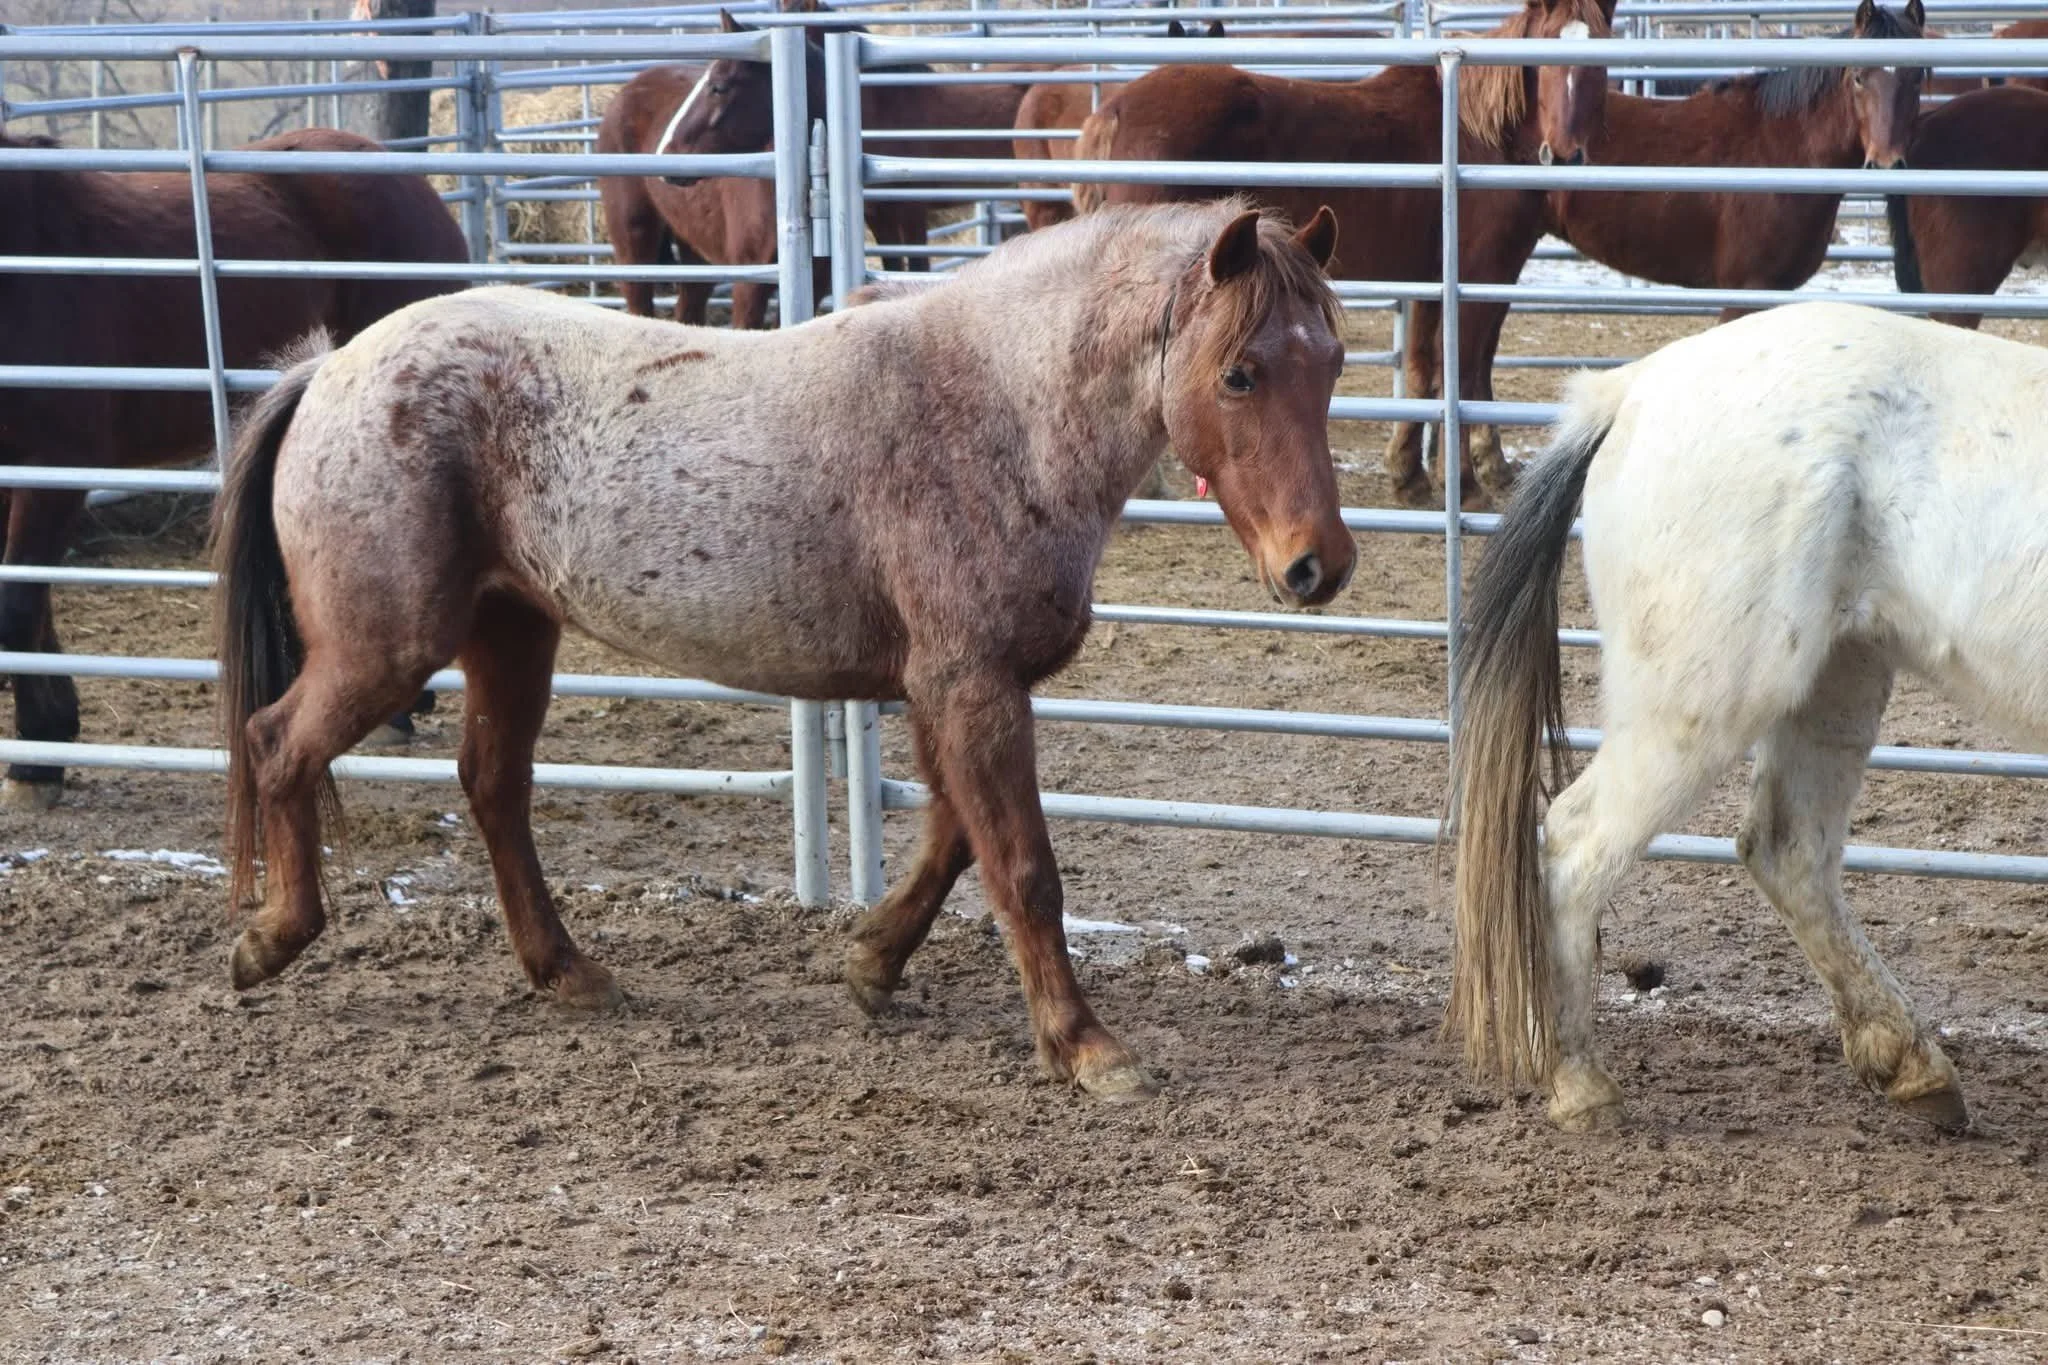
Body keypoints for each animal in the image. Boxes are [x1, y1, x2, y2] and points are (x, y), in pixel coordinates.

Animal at [211, 200, 1353, 1099]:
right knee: (278, 745)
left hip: (510, 630)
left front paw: (872, 965)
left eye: (1333, 360)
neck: (995, 407)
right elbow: (1021, 866)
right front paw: (1085, 1047)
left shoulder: (946, 688)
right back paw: (269, 941)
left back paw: (568, 971)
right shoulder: (971, 685)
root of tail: (331, 369)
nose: (1319, 565)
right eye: (1240, 374)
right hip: (385, 648)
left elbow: (953, 842)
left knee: (492, 785)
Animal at [1069, 0, 1611, 509]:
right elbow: (1464, 370)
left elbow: (1424, 373)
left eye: (1600, 56)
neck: (1476, 135)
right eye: (1545, 53)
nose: (1565, 157)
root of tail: (1113, 111)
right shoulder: (1483, 275)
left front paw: (1411, 475)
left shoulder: (1432, 282)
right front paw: (1468, 484)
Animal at [1444, 300, 2048, 1134]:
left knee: (1789, 851)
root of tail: (1631, 389)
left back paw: (1910, 1064)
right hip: (1704, 699)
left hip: (1839, 675)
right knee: (1574, 843)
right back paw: (1579, 1083)